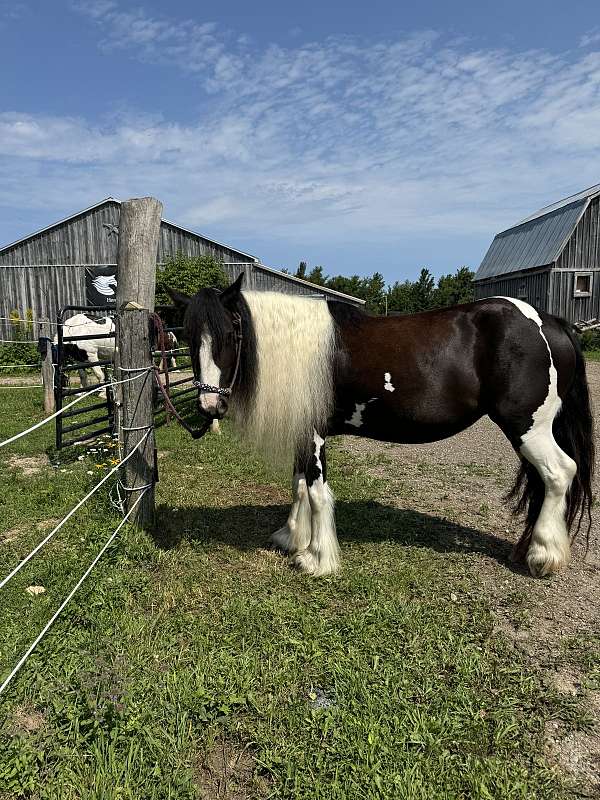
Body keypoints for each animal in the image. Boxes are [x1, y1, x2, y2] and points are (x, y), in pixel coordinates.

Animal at [168, 274, 594, 579]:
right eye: (187, 336)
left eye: (229, 334)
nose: (209, 406)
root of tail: (551, 323)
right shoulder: (303, 432)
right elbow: (299, 485)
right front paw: (292, 539)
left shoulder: (315, 434)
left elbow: (318, 493)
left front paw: (317, 560)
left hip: (528, 427)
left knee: (559, 473)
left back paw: (543, 556)